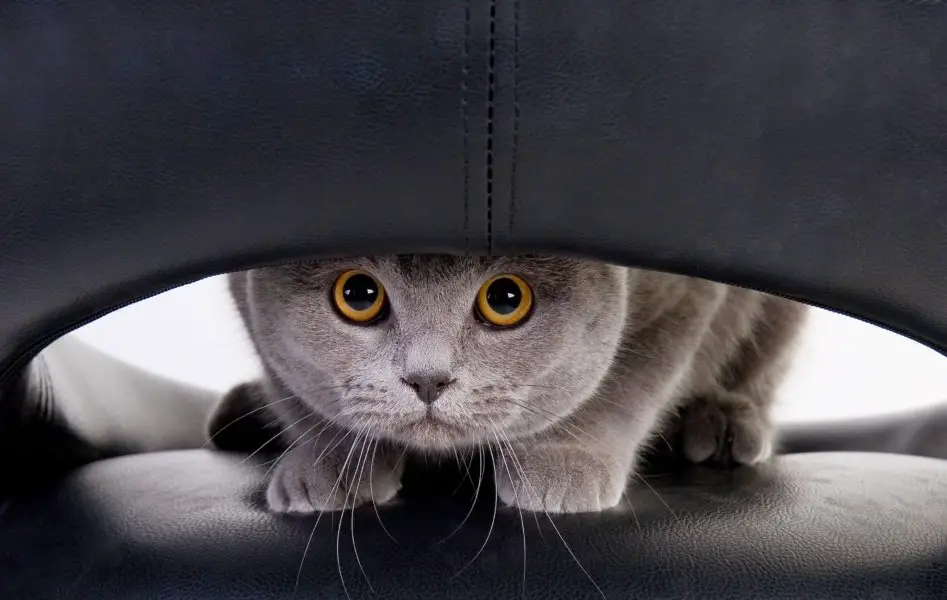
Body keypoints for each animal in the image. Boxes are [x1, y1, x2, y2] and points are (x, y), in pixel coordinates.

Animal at [213, 255, 808, 512]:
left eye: (506, 299)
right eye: (357, 294)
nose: (428, 378)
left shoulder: (683, 294)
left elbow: (628, 383)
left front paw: (562, 462)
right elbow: (292, 386)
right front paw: (330, 463)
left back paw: (724, 420)